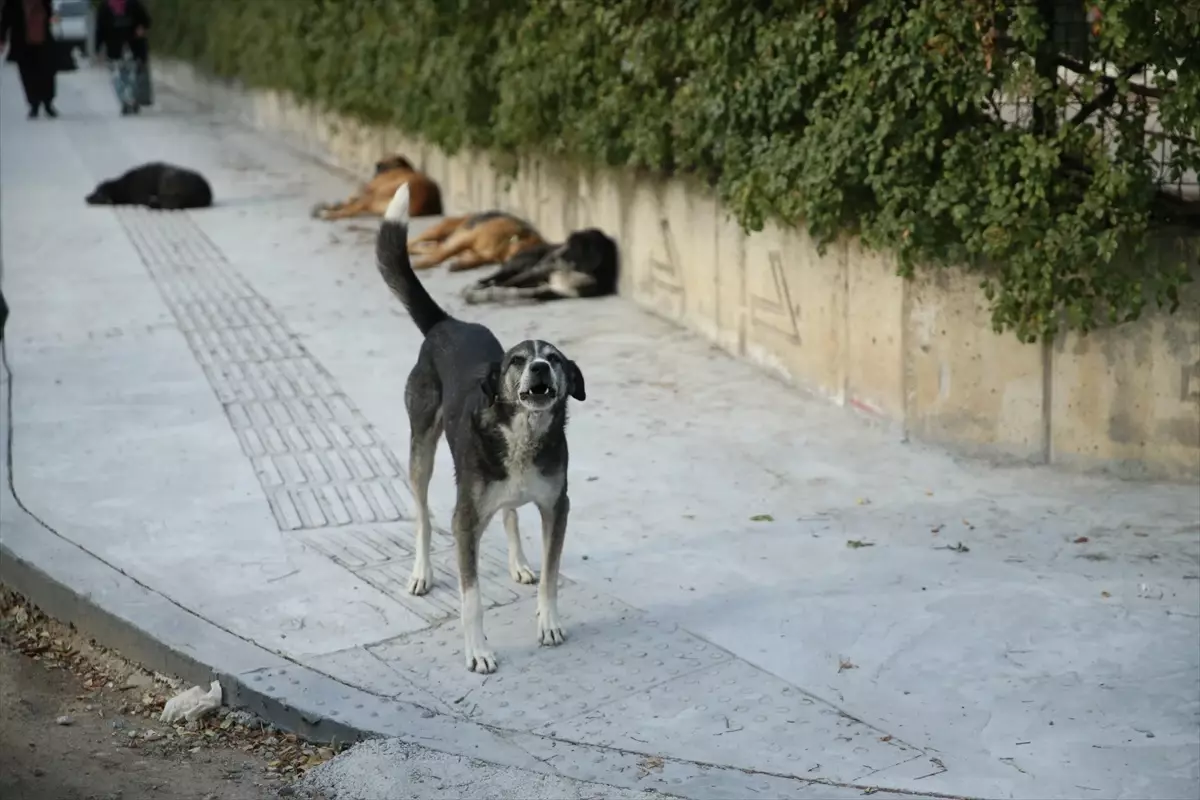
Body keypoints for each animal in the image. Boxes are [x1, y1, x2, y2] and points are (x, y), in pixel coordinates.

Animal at [312, 155, 444, 220]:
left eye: (379, 166)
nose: (377, 167)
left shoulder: (371, 187)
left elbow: (351, 199)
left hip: (375, 195)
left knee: (350, 209)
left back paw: (326, 213)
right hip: (376, 203)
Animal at [408, 211, 549, 273]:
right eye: (525, 254)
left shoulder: (482, 255)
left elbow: (476, 260)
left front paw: (460, 264)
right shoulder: (466, 238)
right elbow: (442, 255)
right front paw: (423, 263)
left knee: (432, 247)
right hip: (437, 231)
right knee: (413, 241)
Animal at [460, 231, 619, 309]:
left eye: (572, 247)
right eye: (566, 243)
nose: (552, 256)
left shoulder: (558, 291)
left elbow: (536, 292)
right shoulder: (537, 271)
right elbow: (509, 283)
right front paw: (492, 290)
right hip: (521, 264)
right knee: (499, 276)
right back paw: (483, 284)